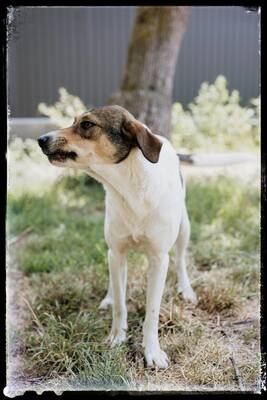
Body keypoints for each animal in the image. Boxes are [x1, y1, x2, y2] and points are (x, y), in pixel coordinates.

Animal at [38, 105, 199, 368]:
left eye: (86, 124)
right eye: (74, 121)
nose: (41, 139)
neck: (130, 191)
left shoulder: (159, 259)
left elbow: (152, 312)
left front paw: (152, 351)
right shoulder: (117, 252)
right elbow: (121, 305)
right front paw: (117, 336)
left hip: (184, 228)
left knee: (181, 260)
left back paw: (186, 289)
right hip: (113, 252)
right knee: (115, 281)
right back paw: (109, 297)